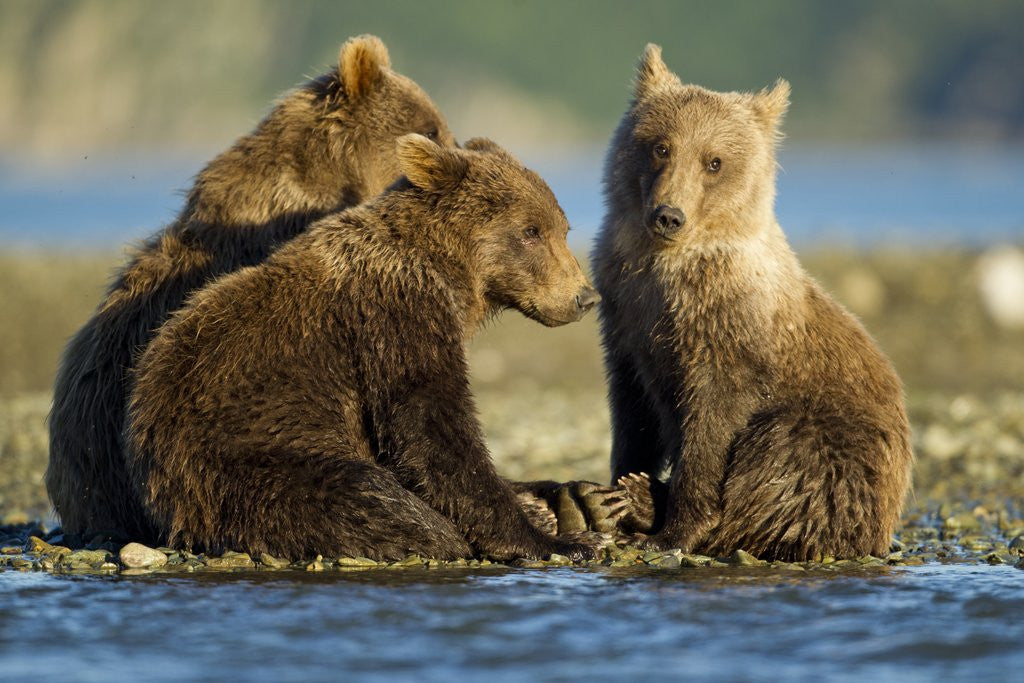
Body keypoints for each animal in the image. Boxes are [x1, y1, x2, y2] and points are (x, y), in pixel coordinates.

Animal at [122, 134, 605, 562]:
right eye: (530, 230)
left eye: (564, 229)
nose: (584, 297)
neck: (451, 274)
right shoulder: (395, 313)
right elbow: (428, 422)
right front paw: (554, 541)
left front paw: (546, 510)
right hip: (244, 461)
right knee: (367, 496)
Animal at [591, 44, 913, 561]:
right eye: (661, 146)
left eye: (714, 161)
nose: (668, 215)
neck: (667, 267)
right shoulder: (626, 312)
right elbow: (632, 408)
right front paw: (617, 490)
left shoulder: (728, 325)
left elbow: (714, 420)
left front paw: (674, 527)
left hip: (835, 439)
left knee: (786, 459)